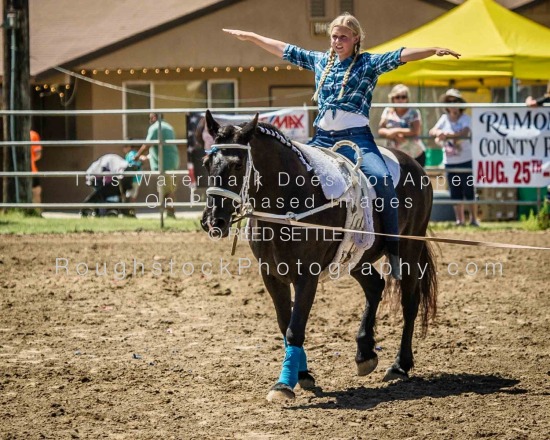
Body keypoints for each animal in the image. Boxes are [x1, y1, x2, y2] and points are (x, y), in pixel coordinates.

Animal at [201, 111, 438, 402]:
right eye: (206, 163)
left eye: (237, 165)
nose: (213, 221)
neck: (290, 200)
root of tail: (415, 165)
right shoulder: (271, 275)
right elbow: (285, 324)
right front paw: (302, 374)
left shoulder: (307, 276)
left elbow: (295, 328)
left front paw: (284, 384)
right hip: (355, 258)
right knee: (375, 286)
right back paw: (365, 354)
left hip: (408, 252)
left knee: (409, 303)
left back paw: (400, 365)